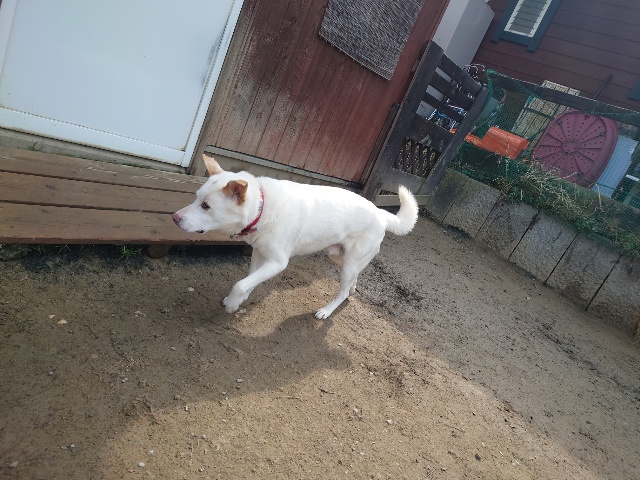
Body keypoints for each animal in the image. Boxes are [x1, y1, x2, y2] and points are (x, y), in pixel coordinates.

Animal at [172, 154, 419, 319]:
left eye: (206, 206)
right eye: (196, 198)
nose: (174, 217)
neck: (262, 207)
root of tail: (381, 214)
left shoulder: (278, 262)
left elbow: (240, 284)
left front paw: (233, 304)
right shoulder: (259, 254)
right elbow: (249, 280)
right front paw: (240, 299)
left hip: (348, 263)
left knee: (342, 291)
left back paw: (326, 310)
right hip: (339, 256)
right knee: (353, 279)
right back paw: (351, 289)